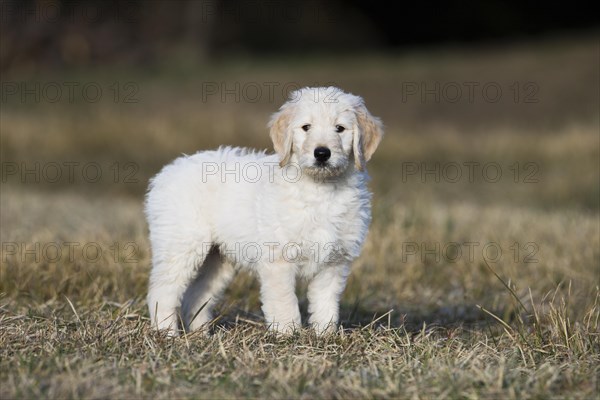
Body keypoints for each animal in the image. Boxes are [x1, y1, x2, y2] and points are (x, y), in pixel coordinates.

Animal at [145, 86, 382, 334]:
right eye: (306, 127)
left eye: (340, 128)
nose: (322, 153)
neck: (320, 190)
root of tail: (167, 171)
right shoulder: (278, 260)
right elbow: (285, 302)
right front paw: (288, 335)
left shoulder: (334, 263)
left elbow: (326, 304)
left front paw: (325, 336)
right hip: (180, 245)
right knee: (162, 291)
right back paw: (167, 334)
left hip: (217, 259)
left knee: (196, 296)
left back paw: (202, 335)